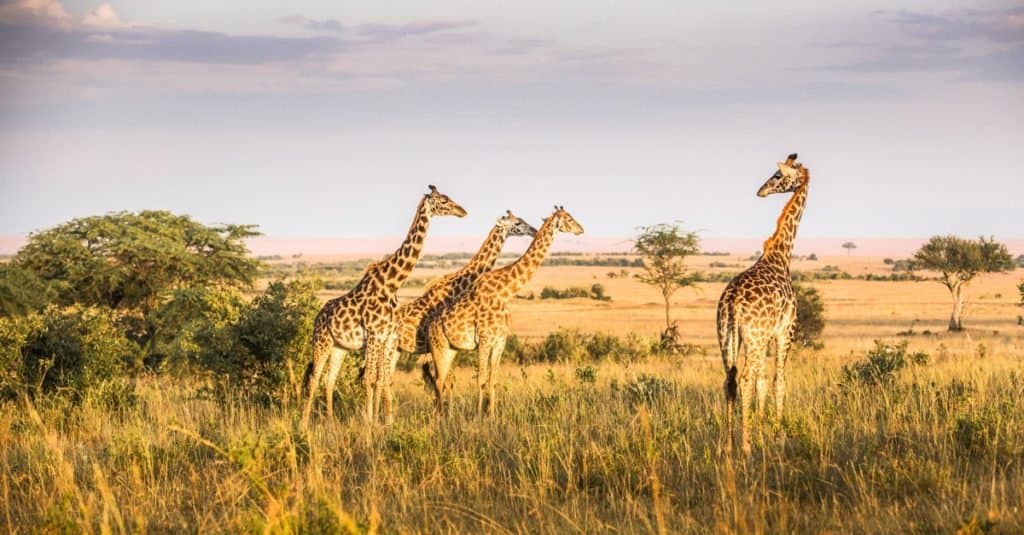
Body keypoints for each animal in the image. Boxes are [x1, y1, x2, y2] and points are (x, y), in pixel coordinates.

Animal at [300, 185, 466, 428]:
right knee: (313, 378)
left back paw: (330, 422)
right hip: (321, 342)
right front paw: (369, 420)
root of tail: (317, 316)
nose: (462, 211)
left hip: (339, 347)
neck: (391, 283)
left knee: (329, 379)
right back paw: (303, 423)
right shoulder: (374, 335)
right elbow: (370, 377)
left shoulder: (387, 337)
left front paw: (386, 420)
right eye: (443, 200)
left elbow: (382, 378)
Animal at [427, 206, 584, 416]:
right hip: (439, 348)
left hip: (451, 350)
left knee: (442, 380)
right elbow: (481, 379)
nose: (581, 229)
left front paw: (492, 415)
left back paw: (446, 415)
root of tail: (429, 327)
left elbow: (493, 380)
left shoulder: (500, 341)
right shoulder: (484, 340)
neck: (504, 293)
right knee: (438, 380)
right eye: (568, 218)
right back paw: (439, 417)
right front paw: (478, 416)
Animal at [716, 152, 810, 454]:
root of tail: (732, 301)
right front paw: (776, 437)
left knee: (730, 381)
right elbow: (778, 382)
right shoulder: (785, 330)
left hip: (727, 336)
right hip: (754, 337)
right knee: (744, 379)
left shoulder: (766, 335)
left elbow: (762, 383)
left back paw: (728, 445)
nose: (761, 191)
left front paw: (761, 434)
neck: (781, 255)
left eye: (777, 176)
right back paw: (744, 446)